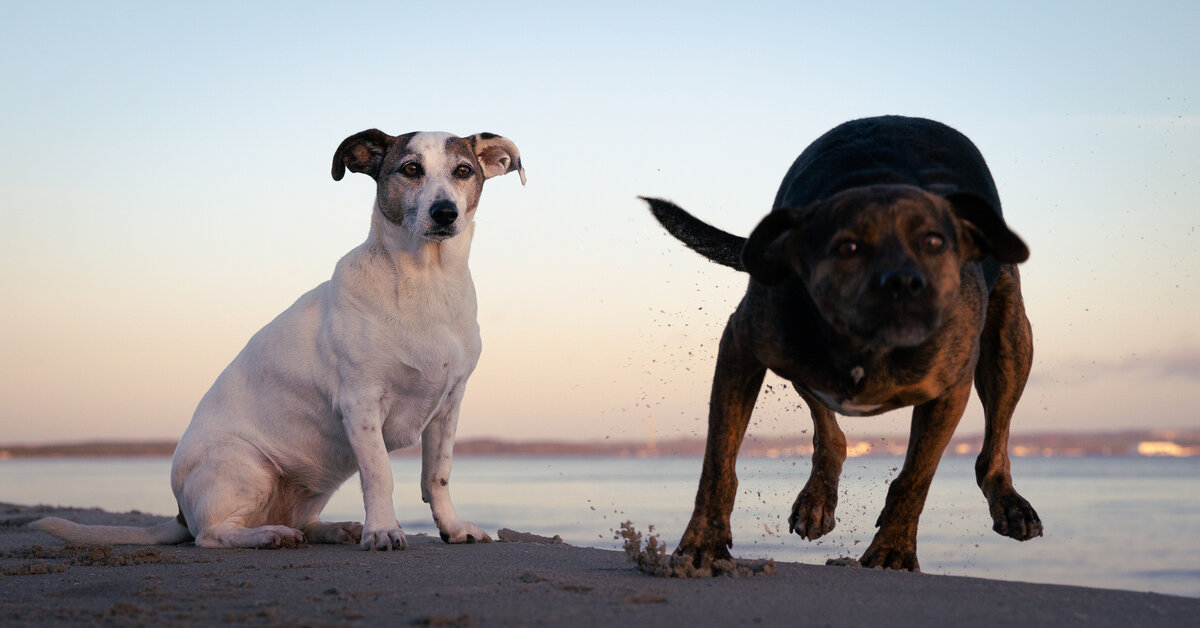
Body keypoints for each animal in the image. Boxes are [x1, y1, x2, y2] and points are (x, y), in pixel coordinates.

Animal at [31, 129, 525, 549]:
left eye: (463, 171)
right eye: (410, 169)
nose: (445, 213)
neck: (427, 283)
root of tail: (179, 513)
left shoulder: (447, 407)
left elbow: (437, 478)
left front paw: (452, 528)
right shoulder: (361, 403)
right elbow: (380, 476)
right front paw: (383, 531)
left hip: (316, 482)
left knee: (300, 519)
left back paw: (333, 529)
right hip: (246, 468)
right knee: (212, 534)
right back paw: (267, 535)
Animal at [648, 115, 1041, 571]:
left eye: (934, 242)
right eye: (848, 246)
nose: (903, 283)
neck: (867, 346)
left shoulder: (950, 389)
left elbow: (915, 477)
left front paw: (893, 550)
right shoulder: (742, 347)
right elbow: (718, 463)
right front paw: (704, 544)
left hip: (1011, 342)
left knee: (994, 443)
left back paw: (1009, 503)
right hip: (801, 366)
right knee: (830, 436)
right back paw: (817, 498)